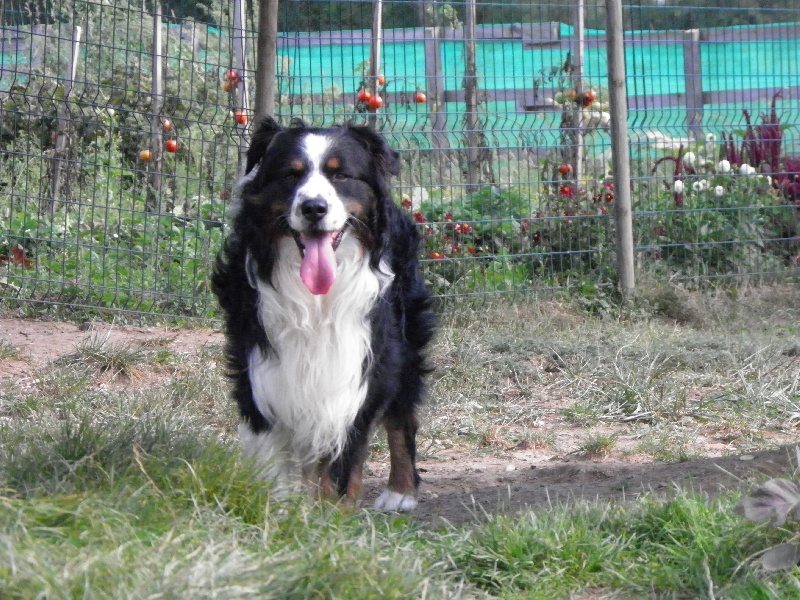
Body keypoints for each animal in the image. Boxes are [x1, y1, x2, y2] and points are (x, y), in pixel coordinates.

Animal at [212, 116, 434, 510]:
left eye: (340, 175)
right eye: (291, 174)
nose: (313, 207)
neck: (314, 300)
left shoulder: (357, 365)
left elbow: (340, 455)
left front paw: (330, 515)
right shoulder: (259, 363)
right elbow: (273, 450)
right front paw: (277, 512)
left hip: (407, 339)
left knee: (402, 412)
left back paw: (401, 490)